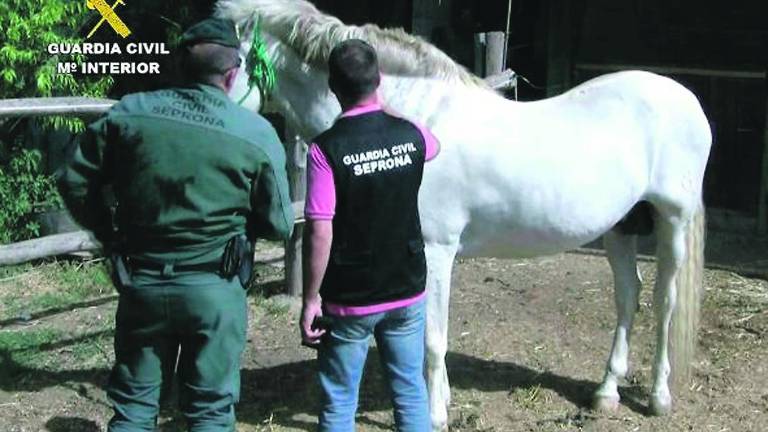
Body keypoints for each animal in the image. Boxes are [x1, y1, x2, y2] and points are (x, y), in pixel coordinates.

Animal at [216, 0, 708, 428]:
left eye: (232, 62)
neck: (411, 121)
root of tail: (686, 98)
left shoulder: (435, 251)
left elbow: (433, 339)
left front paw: (435, 415)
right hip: (622, 226)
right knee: (628, 296)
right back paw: (606, 393)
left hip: (673, 220)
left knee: (664, 300)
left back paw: (659, 397)